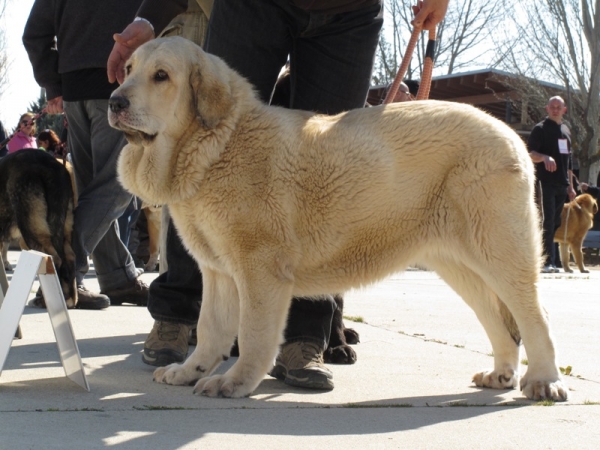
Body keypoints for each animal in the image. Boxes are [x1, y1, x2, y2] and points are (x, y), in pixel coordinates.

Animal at [0, 149, 77, 308]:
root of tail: (50, 165)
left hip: (31, 230)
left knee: (54, 258)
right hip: (63, 227)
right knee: (69, 258)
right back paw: (68, 298)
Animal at [106, 37, 568, 400]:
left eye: (161, 76)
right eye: (128, 70)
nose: (115, 101)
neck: (215, 145)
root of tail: (509, 134)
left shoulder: (260, 270)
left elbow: (253, 335)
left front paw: (235, 382)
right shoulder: (219, 272)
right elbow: (209, 329)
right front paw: (191, 371)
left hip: (499, 250)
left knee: (535, 316)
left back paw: (543, 381)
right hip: (457, 263)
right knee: (499, 321)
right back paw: (502, 374)